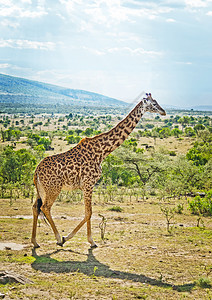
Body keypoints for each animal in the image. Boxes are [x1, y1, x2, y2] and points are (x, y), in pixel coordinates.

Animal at [31, 93, 166, 248]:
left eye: (156, 101)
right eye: (153, 104)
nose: (163, 111)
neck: (102, 151)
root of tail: (36, 171)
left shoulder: (86, 185)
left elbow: (87, 212)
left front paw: (75, 238)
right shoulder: (88, 184)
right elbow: (88, 212)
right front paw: (89, 241)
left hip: (41, 190)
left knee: (35, 207)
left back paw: (35, 242)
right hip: (53, 188)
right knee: (45, 207)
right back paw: (58, 239)